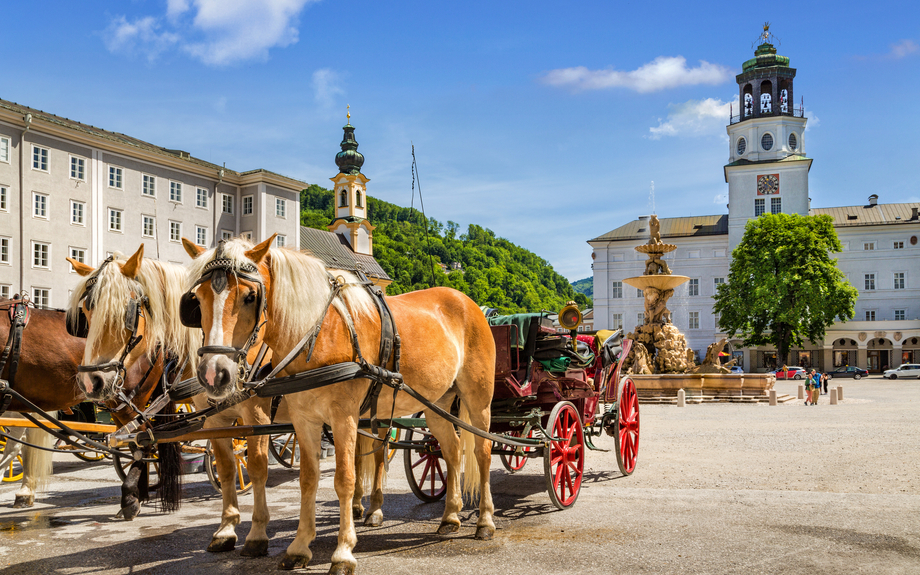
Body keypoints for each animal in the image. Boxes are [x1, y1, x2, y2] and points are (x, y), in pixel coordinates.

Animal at [67, 248, 276, 560]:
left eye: (129, 312)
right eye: (86, 312)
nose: (92, 381)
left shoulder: (255, 413)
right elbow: (140, 445)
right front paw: (135, 494)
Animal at [185, 236, 496, 572]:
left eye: (250, 296)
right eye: (197, 299)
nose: (214, 373)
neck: (317, 334)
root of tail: (467, 301)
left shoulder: (341, 416)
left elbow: (344, 479)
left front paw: (343, 551)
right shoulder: (303, 419)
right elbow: (307, 479)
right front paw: (299, 546)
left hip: (478, 400)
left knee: (482, 451)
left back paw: (485, 520)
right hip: (436, 404)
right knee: (451, 450)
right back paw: (450, 515)